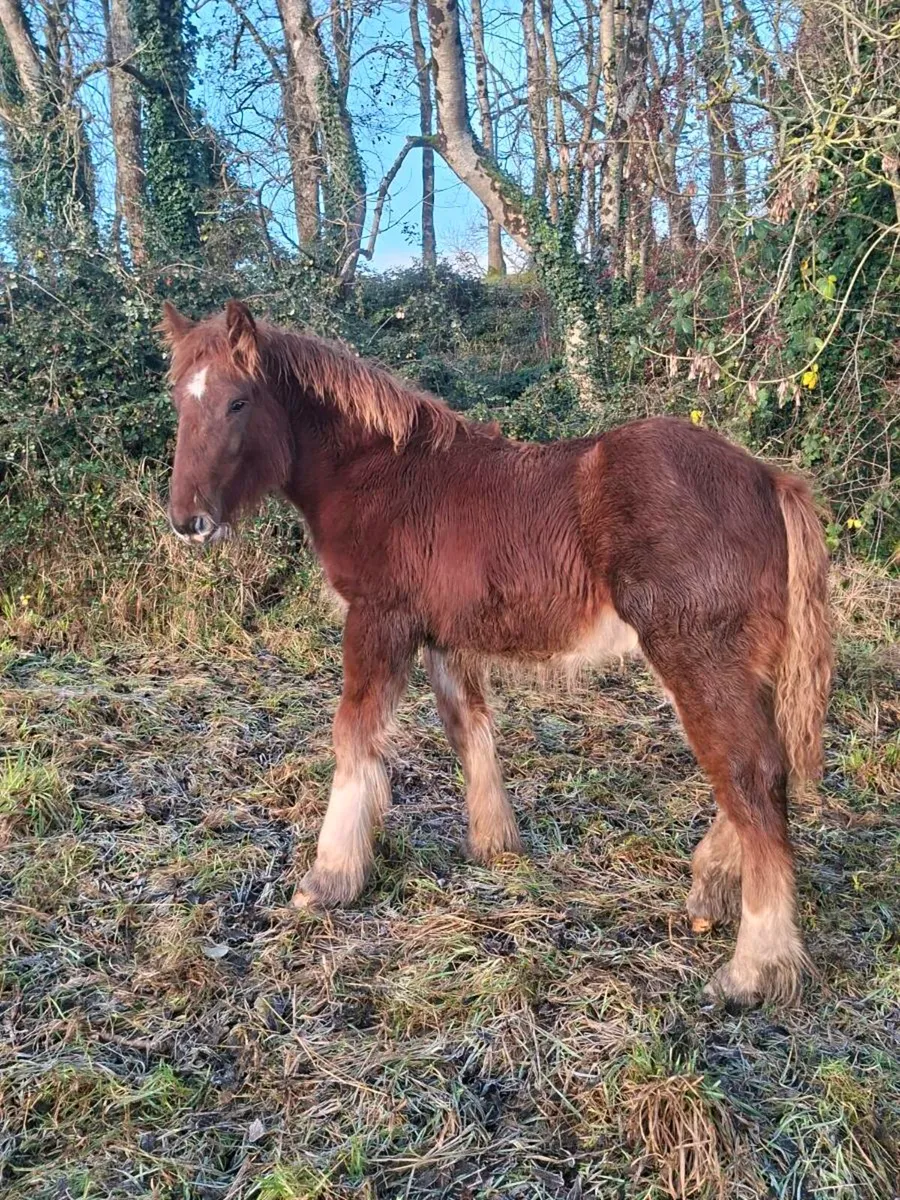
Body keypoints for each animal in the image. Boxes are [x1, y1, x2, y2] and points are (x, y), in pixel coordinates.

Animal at [161, 299, 832, 1008]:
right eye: (179, 397)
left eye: (238, 402)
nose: (187, 521)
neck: (379, 474)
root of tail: (769, 479)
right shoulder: (445, 638)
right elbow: (470, 730)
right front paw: (495, 846)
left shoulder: (379, 621)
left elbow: (354, 735)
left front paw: (330, 877)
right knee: (768, 766)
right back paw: (711, 889)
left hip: (696, 657)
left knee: (750, 774)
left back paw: (755, 966)